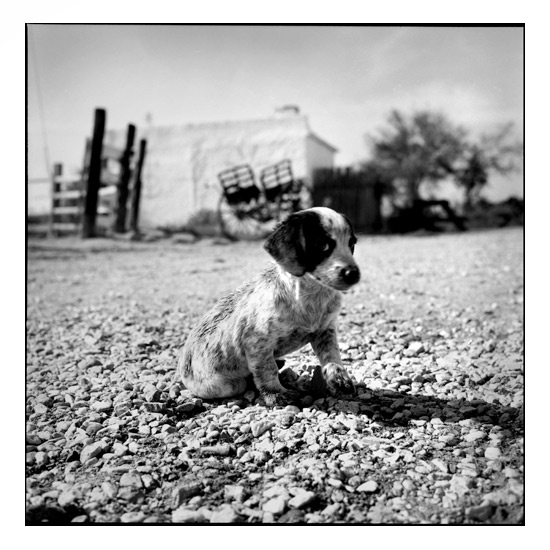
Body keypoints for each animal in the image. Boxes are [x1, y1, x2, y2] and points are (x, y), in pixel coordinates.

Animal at [178, 207, 362, 406]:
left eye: (352, 243)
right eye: (322, 245)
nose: (353, 274)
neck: (311, 296)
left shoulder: (324, 332)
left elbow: (332, 357)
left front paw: (340, 380)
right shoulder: (258, 343)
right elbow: (267, 370)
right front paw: (276, 393)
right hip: (226, 385)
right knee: (244, 382)